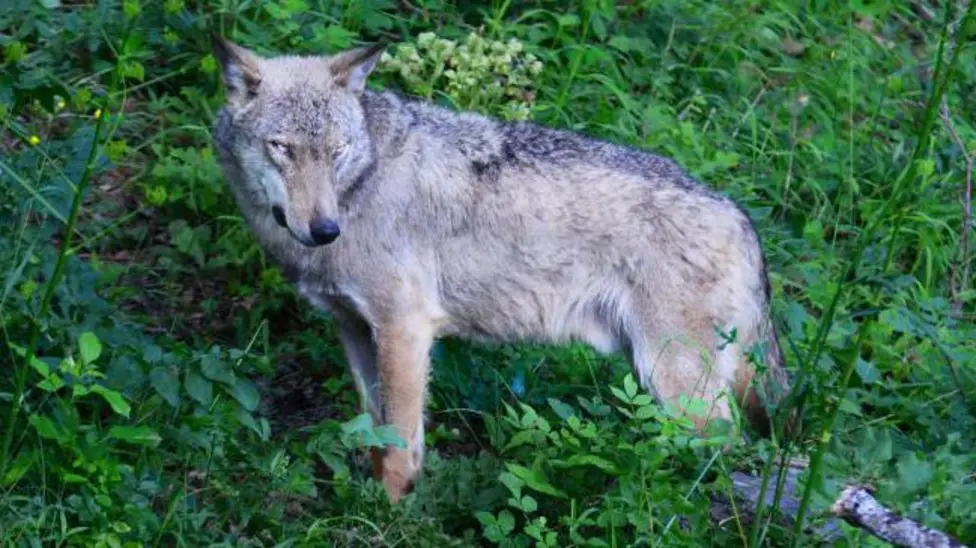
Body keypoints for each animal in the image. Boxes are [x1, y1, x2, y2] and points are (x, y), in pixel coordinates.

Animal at [211, 35, 792, 503]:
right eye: (282, 148)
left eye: (337, 150)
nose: (324, 229)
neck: (360, 188)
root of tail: (739, 215)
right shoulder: (354, 329)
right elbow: (377, 435)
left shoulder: (404, 329)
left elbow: (400, 446)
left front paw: (391, 515)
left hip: (674, 384)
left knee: (726, 449)